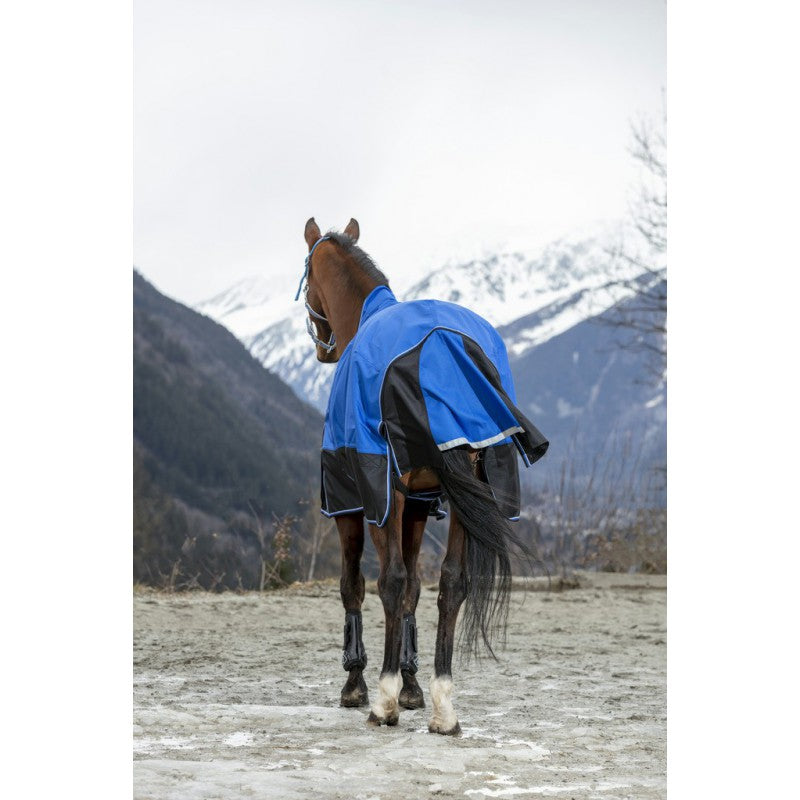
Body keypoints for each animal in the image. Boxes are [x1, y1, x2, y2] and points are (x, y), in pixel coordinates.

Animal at [298, 217, 548, 735]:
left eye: (308, 276)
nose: (321, 350)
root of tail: (442, 346)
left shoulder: (353, 502)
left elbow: (357, 585)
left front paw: (360, 685)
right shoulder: (417, 505)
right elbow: (417, 588)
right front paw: (413, 687)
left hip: (383, 496)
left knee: (389, 580)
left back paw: (383, 702)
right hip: (469, 494)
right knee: (452, 583)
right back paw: (443, 706)